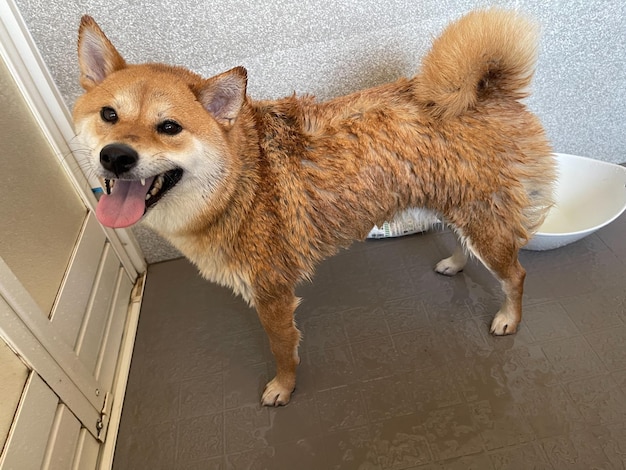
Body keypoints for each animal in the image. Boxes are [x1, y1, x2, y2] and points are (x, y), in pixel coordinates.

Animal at [73, 8, 552, 404]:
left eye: (169, 127)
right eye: (109, 115)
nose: (116, 156)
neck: (239, 183)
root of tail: (491, 91)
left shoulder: (272, 294)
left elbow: (283, 350)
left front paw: (283, 388)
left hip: (485, 220)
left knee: (516, 275)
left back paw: (509, 318)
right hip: (457, 205)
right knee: (462, 241)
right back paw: (454, 264)